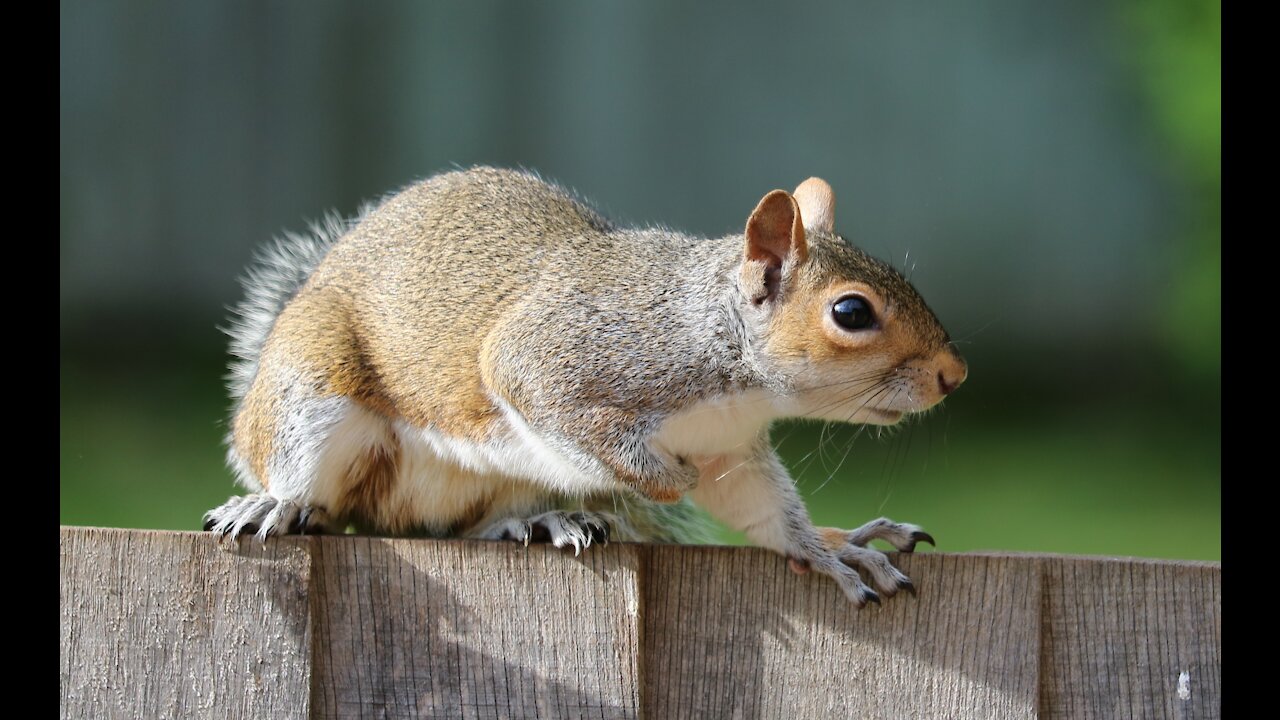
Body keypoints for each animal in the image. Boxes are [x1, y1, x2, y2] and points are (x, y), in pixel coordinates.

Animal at [207, 166, 967, 604]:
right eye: (851, 313)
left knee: (460, 527)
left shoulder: (730, 449)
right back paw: (275, 505)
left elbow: (764, 511)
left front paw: (832, 550)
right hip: (312, 390)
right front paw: (664, 480)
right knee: (314, 487)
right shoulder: (556, 359)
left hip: (490, 487)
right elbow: (561, 412)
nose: (953, 376)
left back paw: (540, 520)